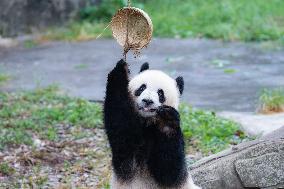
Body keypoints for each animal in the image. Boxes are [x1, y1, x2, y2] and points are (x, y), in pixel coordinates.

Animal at [103, 59, 200, 189]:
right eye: (141, 88)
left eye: (160, 93)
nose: (147, 101)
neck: (147, 122)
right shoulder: (125, 146)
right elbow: (120, 122)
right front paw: (121, 69)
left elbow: (170, 171)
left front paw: (166, 119)